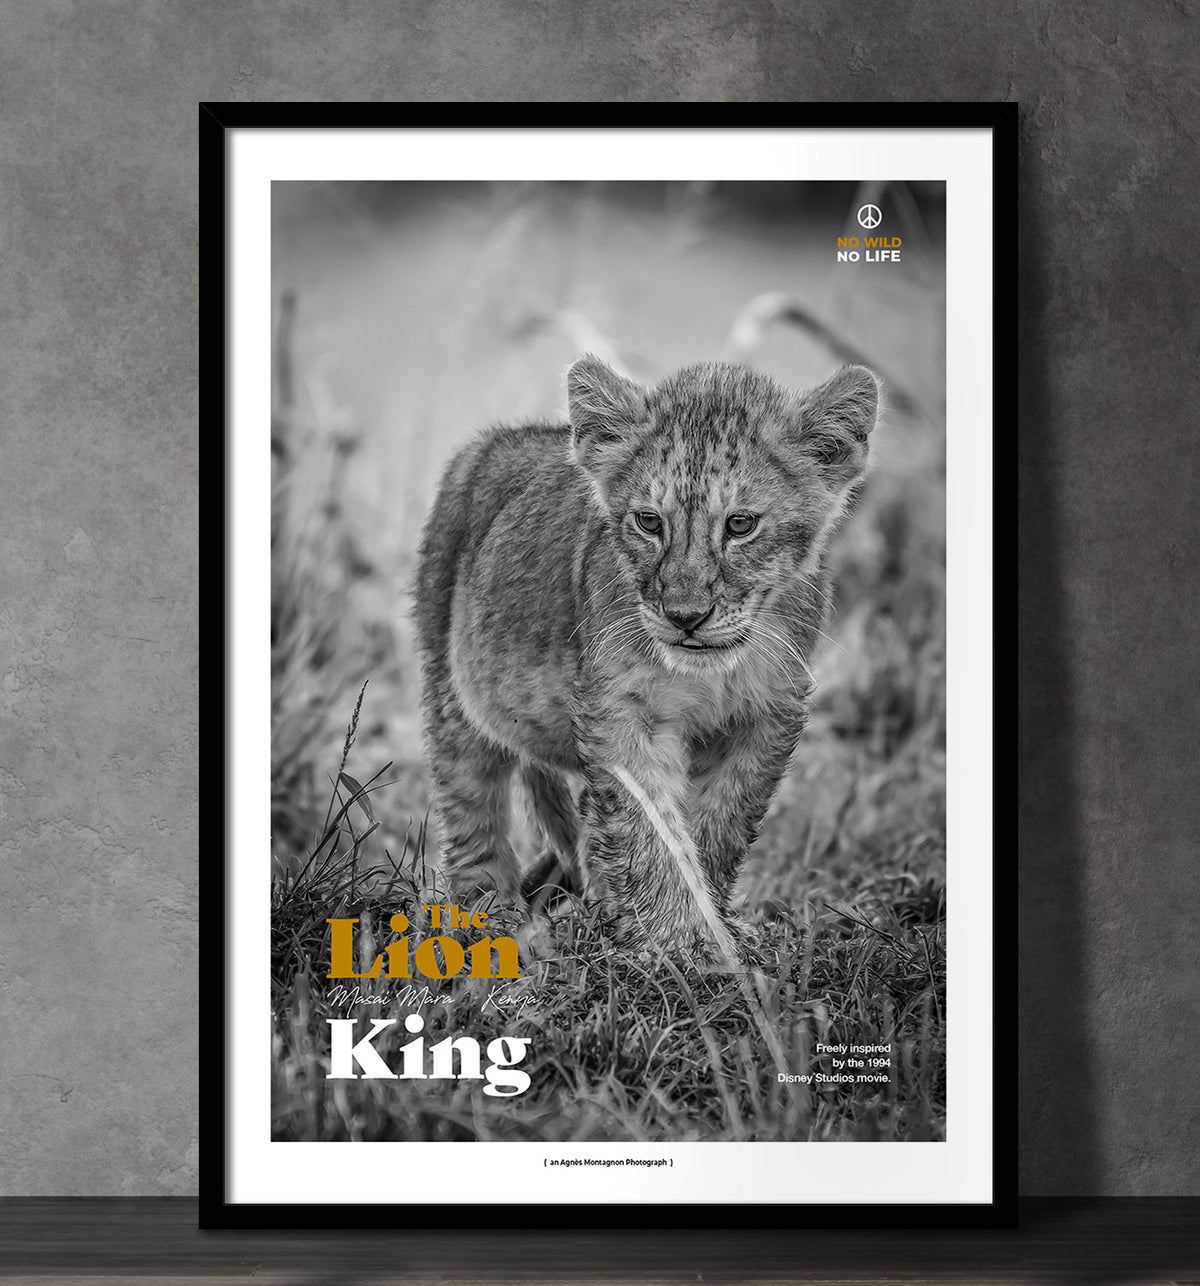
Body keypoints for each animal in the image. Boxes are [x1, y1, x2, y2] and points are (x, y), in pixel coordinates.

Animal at [413, 356, 879, 957]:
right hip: (451, 688)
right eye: (649, 522)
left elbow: (719, 824)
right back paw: (485, 918)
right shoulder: (619, 708)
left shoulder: (768, 714)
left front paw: (708, 927)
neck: (710, 674)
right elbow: (649, 827)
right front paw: (674, 940)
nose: (685, 616)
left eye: (741, 524)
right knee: (473, 807)